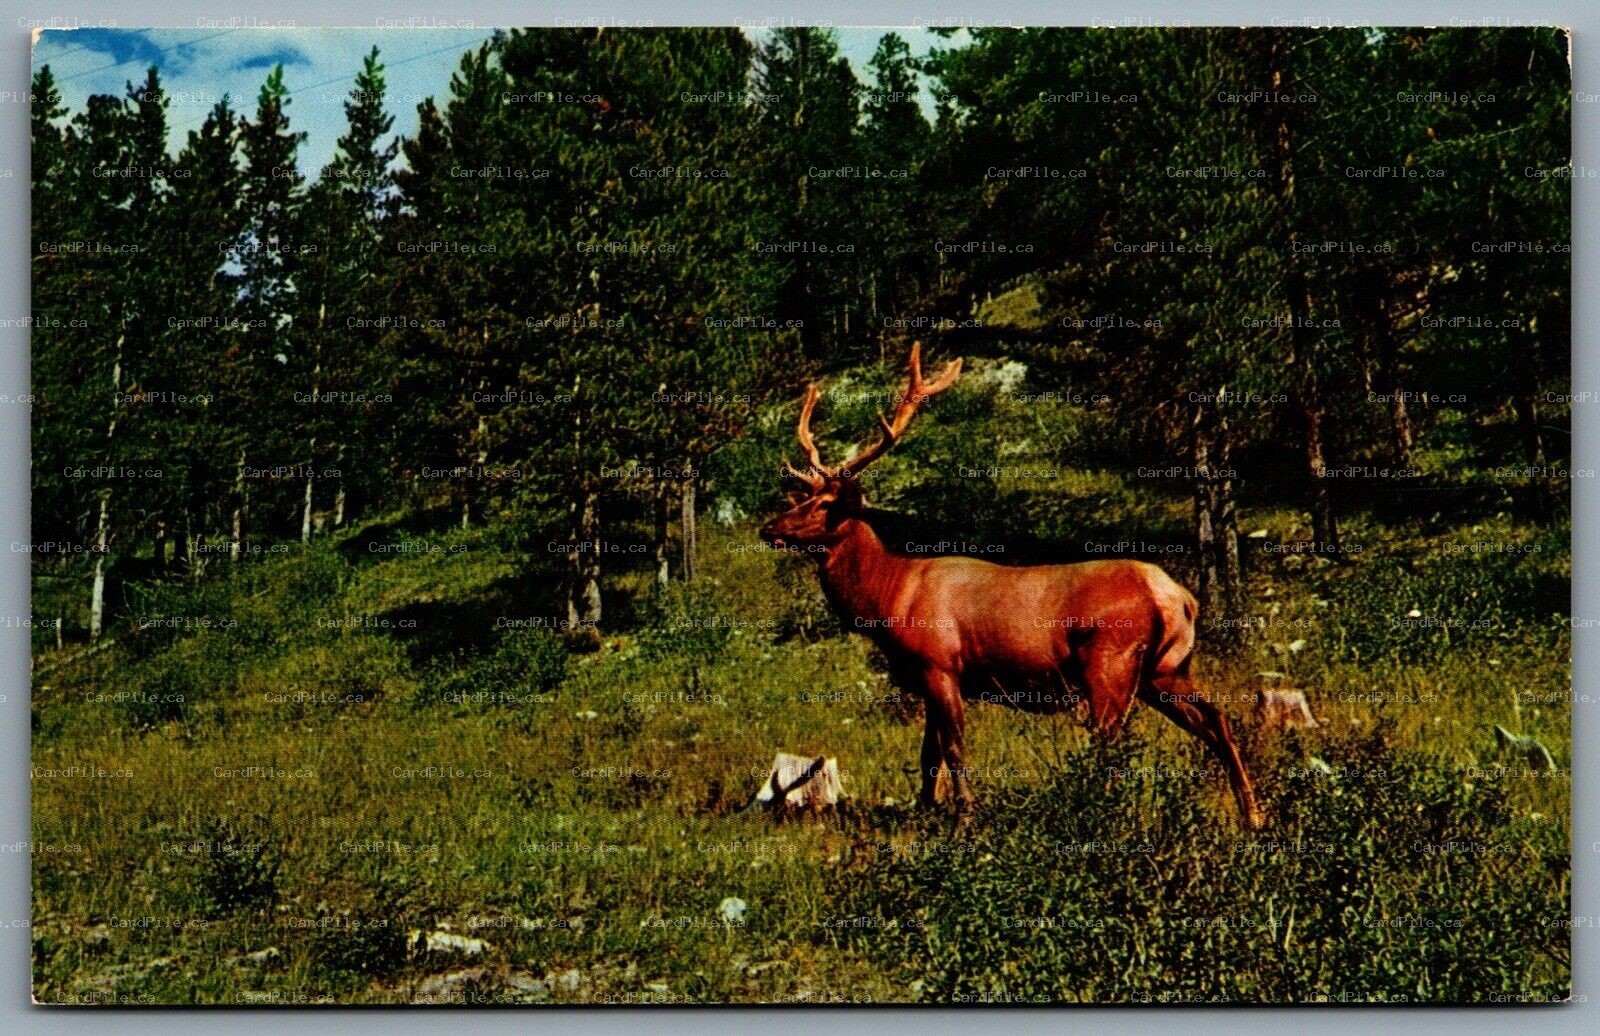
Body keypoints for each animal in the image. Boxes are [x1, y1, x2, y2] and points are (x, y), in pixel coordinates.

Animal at [759, 344, 1266, 830]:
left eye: (824, 504)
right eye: (801, 498)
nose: (769, 527)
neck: (889, 600)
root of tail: (1179, 598)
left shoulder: (940, 664)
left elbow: (953, 749)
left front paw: (963, 820)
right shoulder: (926, 677)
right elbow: (928, 756)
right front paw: (924, 813)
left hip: (1111, 663)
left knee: (1113, 743)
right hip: (1167, 669)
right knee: (1217, 721)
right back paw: (1252, 816)